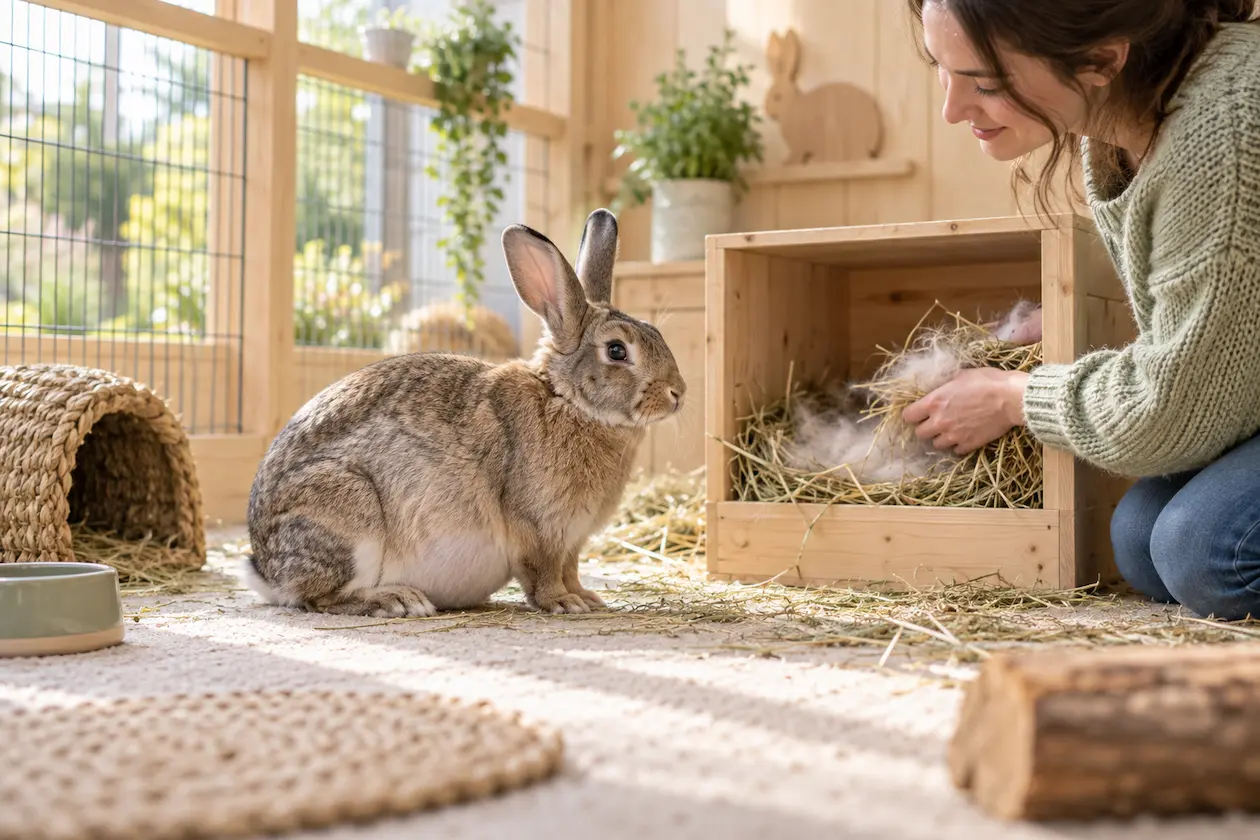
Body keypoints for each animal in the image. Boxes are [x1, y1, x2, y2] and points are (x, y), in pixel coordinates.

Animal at [242, 208, 687, 618]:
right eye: (617, 351)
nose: (677, 393)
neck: (566, 399)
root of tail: (264, 569)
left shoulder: (573, 540)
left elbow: (571, 569)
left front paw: (586, 597)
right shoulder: (539, 528)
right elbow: (543, 573)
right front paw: (564, 603)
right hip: (350, 512)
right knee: (320, 597)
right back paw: (397, 600)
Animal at [764, 29, 884, 164]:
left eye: (777, 97)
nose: (766, 111)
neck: (790, 107)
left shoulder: (800, 145)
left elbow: (797, 154)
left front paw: (788, 162)